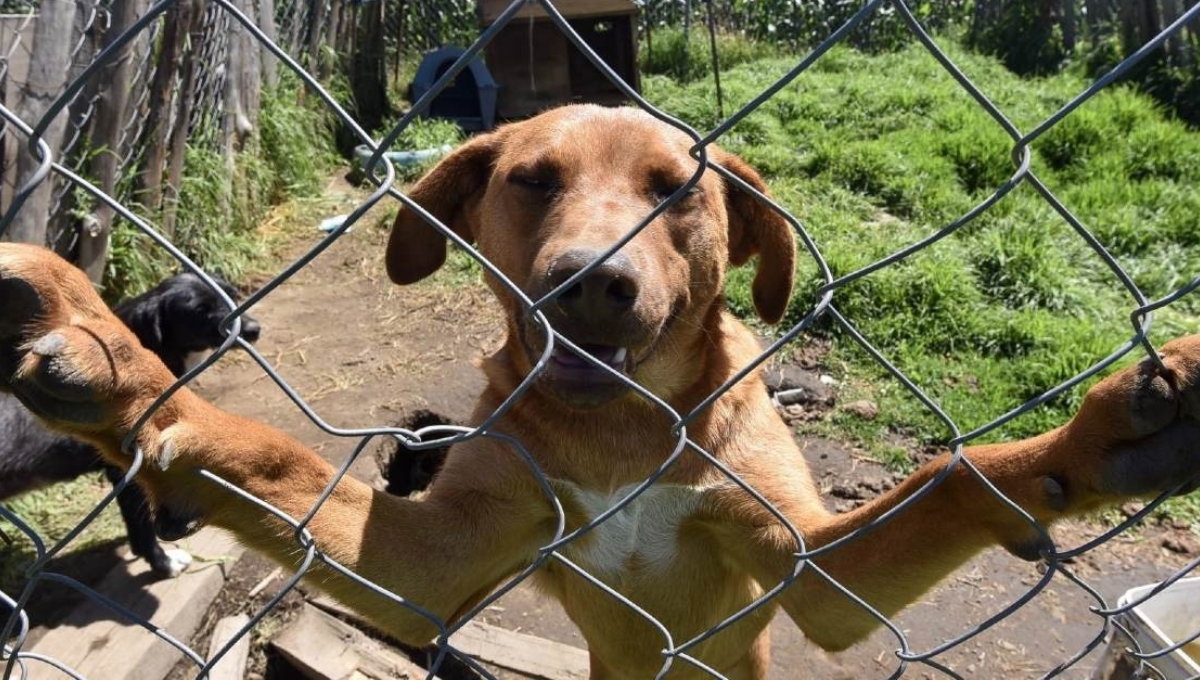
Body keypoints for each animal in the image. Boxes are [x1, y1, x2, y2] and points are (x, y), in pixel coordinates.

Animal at [0, 274, 260, 578]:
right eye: (199, 311)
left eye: (231, 293)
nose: (253, 329)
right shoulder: (129, 470)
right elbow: (142, 529)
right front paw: (163, 564)